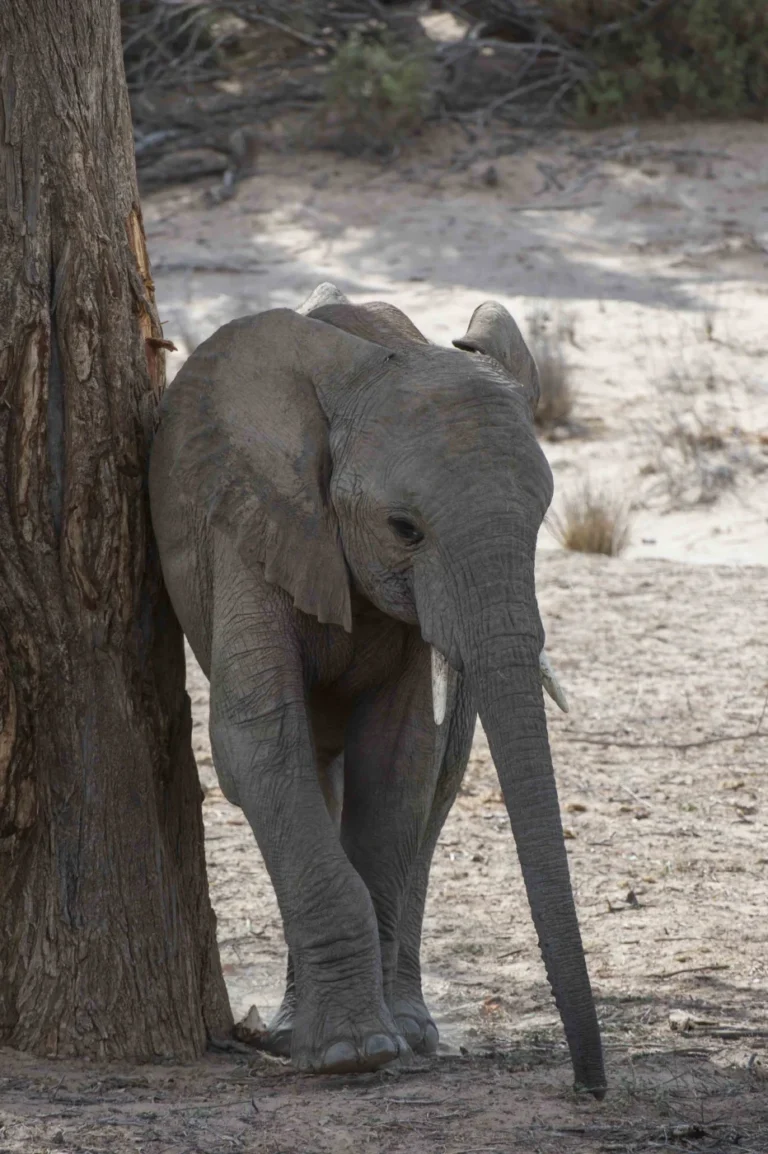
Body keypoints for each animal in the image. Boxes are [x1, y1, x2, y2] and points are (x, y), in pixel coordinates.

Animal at [148, 282, 606, 1097]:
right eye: (404, 529)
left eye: (541, 520)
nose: (590, 1087)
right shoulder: (246, 527)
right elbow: (257, 745)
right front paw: (351, 1055)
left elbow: (399, 760)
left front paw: (374, 1044)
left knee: (424, 780)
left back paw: (408, 1030)